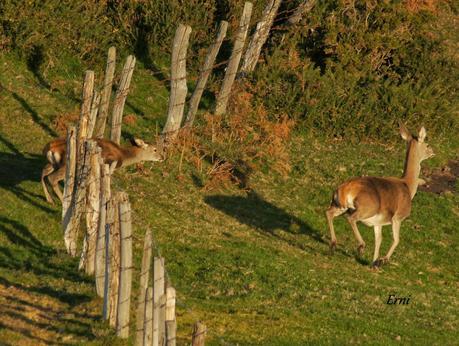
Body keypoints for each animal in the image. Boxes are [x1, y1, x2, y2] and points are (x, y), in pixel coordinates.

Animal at [328, 125, 434, 268]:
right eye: (427, 144)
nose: (433, 151)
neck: (408, 186)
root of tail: (346, 189)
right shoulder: (398, 217)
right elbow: (396, 240)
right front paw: (382, 260)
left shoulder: (378, 222)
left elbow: (379, 239)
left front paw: (374, 262)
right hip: (366, 208)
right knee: (351, 218)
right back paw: (361, 246)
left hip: (339, 205)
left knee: (329, 213)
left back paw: (333, 244)